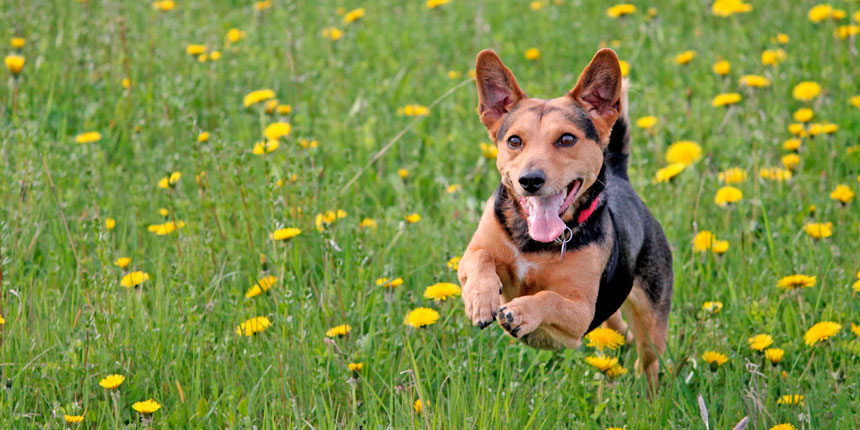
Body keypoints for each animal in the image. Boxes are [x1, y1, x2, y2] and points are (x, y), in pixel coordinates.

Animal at [460, 47, 676, 390]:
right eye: (514, 141)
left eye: (566, 139)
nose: (530, 180)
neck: (535, 243)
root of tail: (620, 177)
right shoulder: (473, 253)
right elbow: (480, 258)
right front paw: (480, 299)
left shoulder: (581, 312)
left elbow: (549, 298)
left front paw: (521, 313)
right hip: (613, 313)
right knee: (620, 331)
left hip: (652, 316)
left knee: (649, 360)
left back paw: (650, 395)